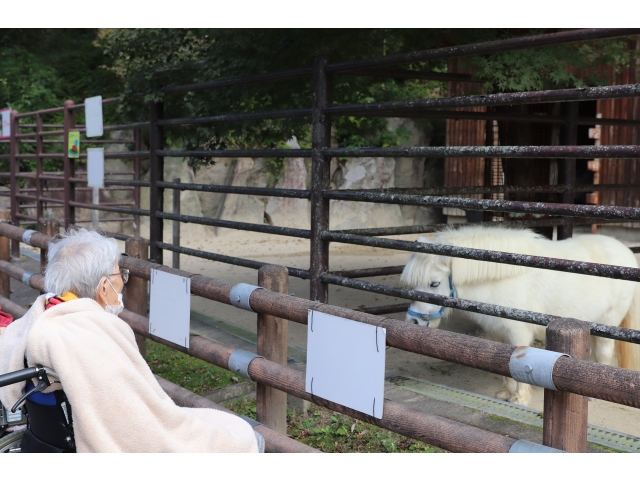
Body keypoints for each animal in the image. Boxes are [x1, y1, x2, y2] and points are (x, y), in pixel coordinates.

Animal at [400, 225, 640, 406]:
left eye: (434, 284)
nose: (413, 321)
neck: (502, 278)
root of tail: (626, 253)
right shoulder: (497, 332)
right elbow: (502, 362)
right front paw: (505, 393)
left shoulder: (519, 333)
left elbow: (521, 363)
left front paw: (520, 399)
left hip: (609, 322)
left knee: (604, 354)